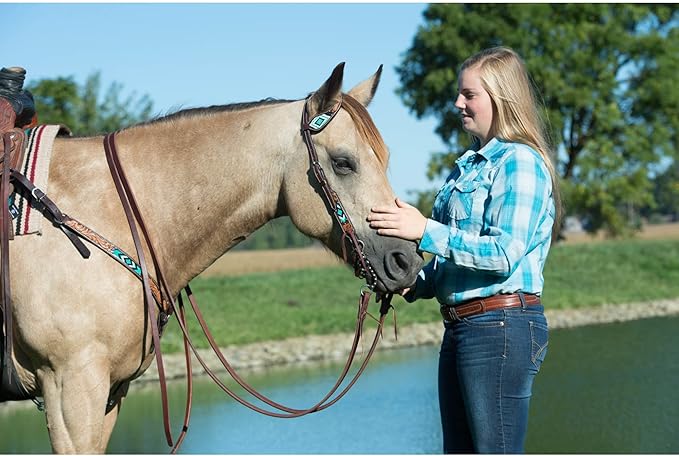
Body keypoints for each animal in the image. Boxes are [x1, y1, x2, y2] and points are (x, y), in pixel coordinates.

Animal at [4, 63, 424, 453]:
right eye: (343, 162)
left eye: (384, 158)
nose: (407, 261)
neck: (107, 213)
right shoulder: (71, 386)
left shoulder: (109, 391)